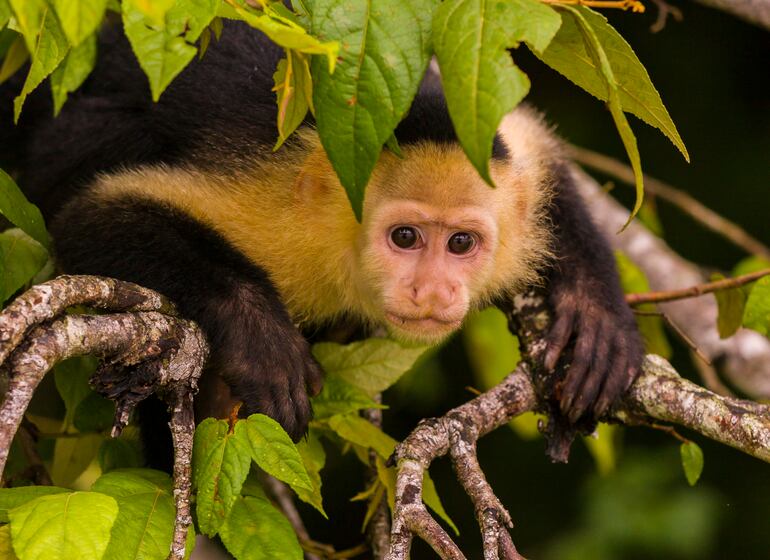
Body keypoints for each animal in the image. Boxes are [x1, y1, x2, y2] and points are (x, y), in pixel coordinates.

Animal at [0, 20, 643, 459]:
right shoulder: (282, 216)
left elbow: (541, 149)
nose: (433, 292)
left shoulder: (498, 142)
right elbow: (90, 215)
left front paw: (596, 313)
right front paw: (258, 333)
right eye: (405, 237)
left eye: (461, 244)